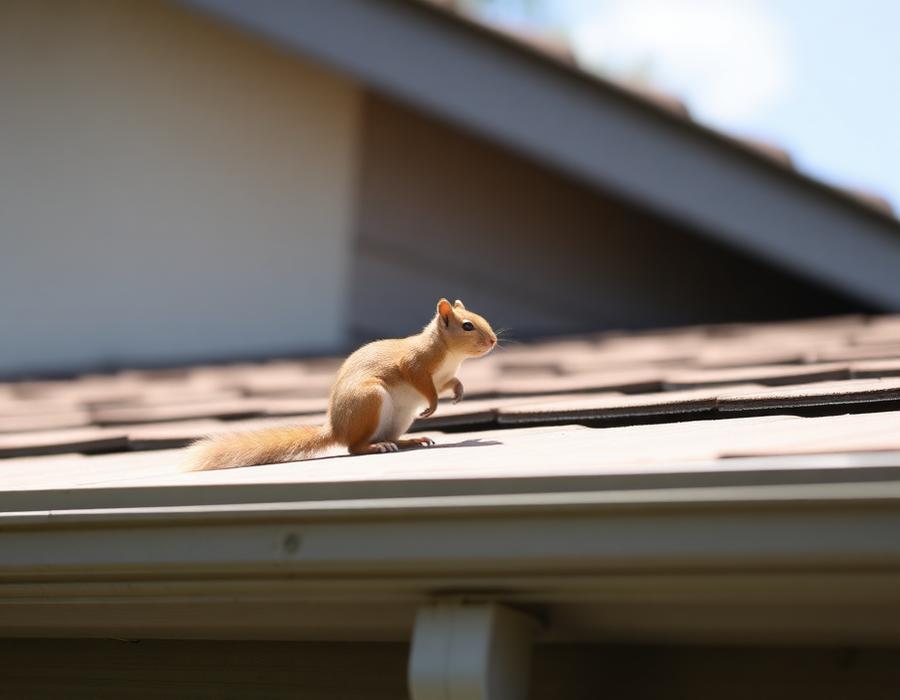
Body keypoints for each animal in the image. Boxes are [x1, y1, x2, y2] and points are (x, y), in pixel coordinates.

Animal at [182, 298, 497, 471]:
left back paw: (407, 440)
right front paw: (432, 406)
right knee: (354, 448)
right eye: (467, 326)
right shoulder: (415, 364)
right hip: (370, 399)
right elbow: (422, 383)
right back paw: (375, 447)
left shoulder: (442, 377)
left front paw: (458, 392)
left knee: (388, 438)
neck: (451, 356)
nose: (493, 340)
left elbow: (449, 383)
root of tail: (337, 428)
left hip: (398, 418)